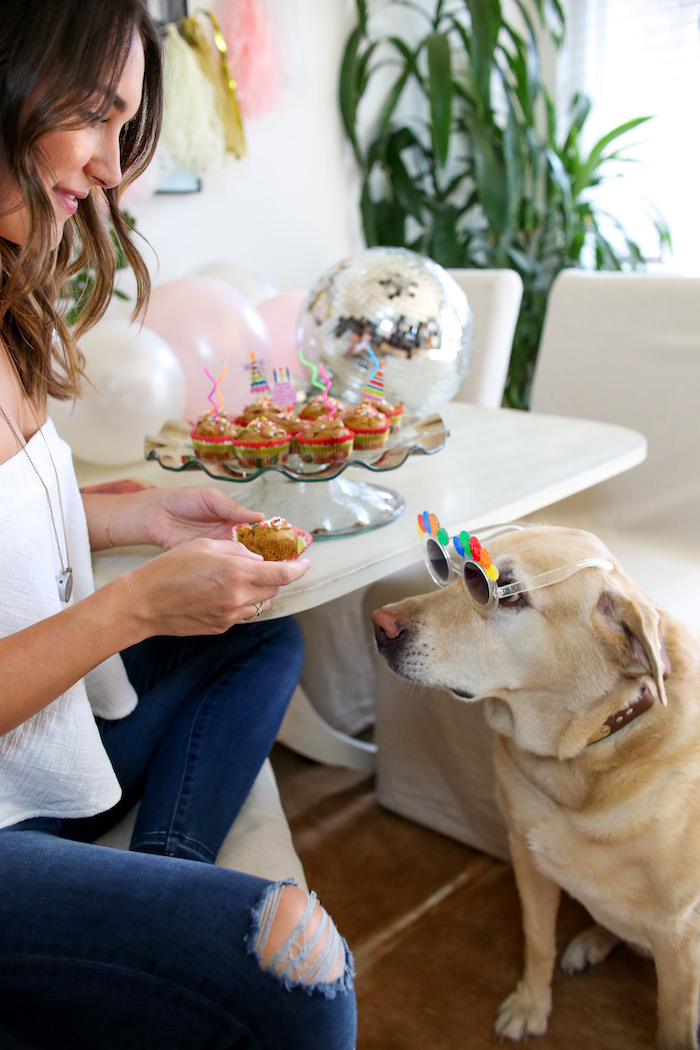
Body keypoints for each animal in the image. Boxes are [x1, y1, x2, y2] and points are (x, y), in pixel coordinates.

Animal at [375, 520, 700, 1045]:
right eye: (453, 569)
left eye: (507, 594)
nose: (378, 624)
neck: (580, 755)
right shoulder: (528, 861)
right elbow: (537, 940)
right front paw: (531, 1004)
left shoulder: (679, 931)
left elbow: (672, 1023)